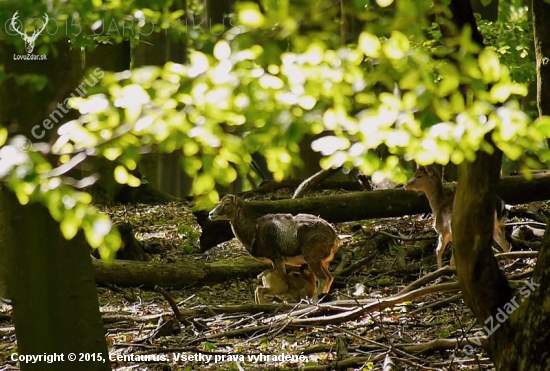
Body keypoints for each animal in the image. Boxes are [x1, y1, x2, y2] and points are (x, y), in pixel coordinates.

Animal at [210, 195, 342, 302]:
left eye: (227, 203)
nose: (211, 214)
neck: (254, 232)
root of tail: (335, 237)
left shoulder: (276, 257)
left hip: (312, 258)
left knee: (323, 278)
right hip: (323, 262)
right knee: (329, 278)